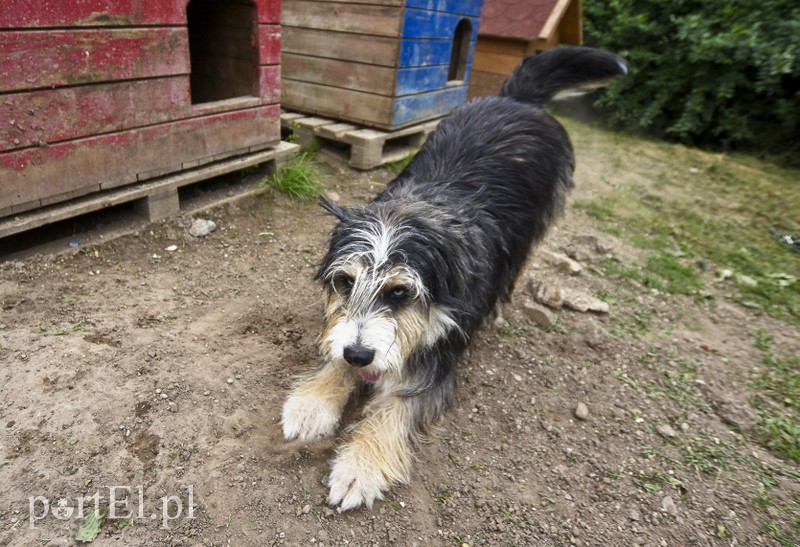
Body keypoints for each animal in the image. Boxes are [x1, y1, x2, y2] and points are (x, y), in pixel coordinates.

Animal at [280, 45, 624, 512]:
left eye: (401, 291)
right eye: (346, 282)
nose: (359, 356)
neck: (421, 210)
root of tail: (515, 99)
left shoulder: (443, 354)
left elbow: (398, 406)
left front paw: (361, 465)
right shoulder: (346, 333)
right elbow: (336, 353)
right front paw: (314, 402)